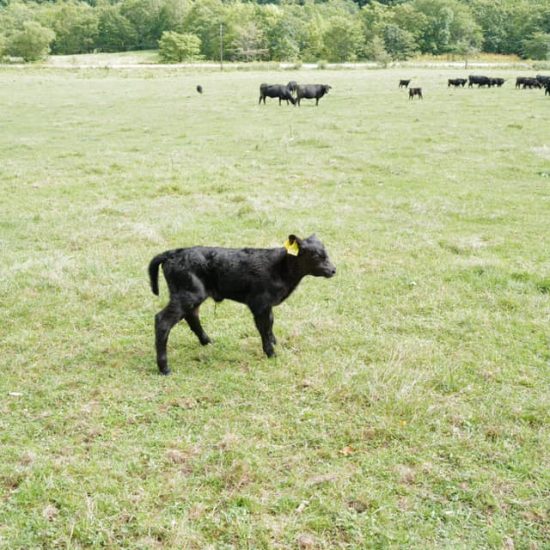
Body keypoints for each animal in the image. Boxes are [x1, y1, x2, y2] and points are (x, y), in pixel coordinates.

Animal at [149, 234, 336, 376]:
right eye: (316, 256)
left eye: (326, 253)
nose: (333, 270)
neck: (280, 269)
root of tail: (173, 253)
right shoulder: (259, 303)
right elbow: (263, 327)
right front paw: (271, 353)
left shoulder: (267, 305)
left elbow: (270, 323)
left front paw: (274, 342)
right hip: (188, 294)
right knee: (163, 321)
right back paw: (164, 368)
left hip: (191, 295)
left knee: (191, 316)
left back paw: (207, 341)